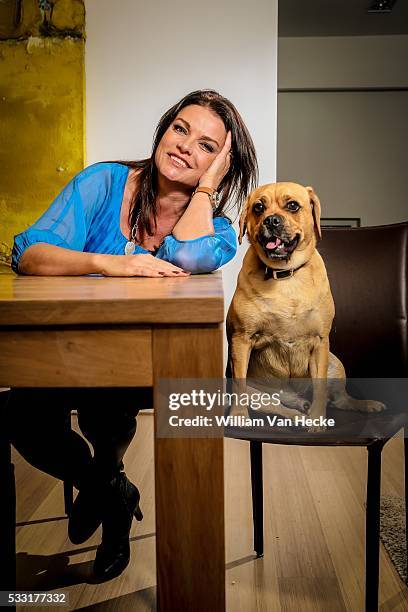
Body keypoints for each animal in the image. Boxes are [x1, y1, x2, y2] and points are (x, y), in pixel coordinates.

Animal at [226, 182, 386, 430]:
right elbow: (239, 386)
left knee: (340, 399)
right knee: (279, 408)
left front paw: (318, 420)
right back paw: (299, 413)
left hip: (334, 363)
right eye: (258, 207)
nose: (271, 220)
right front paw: (239, 416)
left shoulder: (320, 342)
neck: (285, 276)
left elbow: (320, 389)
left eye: (292, 205)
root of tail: (292, 396)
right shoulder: (241, 339)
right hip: (262, 396)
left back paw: (363, 405)